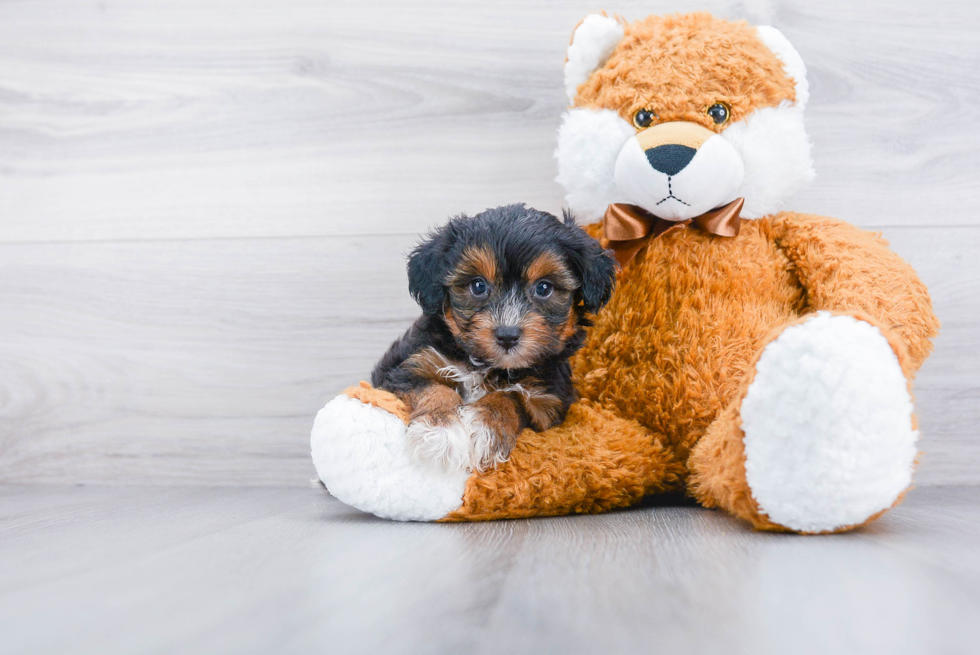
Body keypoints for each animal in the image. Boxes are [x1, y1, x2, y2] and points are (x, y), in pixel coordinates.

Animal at [372, 204, 616, 472]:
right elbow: (433, 388)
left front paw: (487, 424)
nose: (507, 335)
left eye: (544, 288)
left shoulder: (549, 400)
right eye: (478, 286)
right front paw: (439, 432)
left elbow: (513, 397)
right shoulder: (407, 367)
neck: (489, 365)